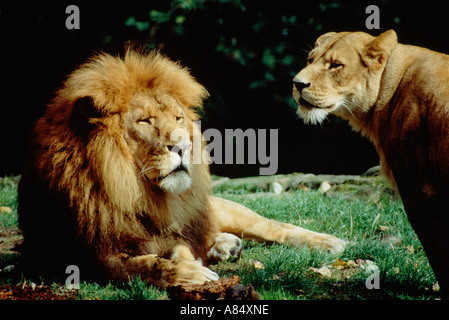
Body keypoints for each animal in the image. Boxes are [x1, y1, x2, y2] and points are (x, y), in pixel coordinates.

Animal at [15, 48, 342, 288]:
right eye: (145, 121)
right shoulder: (88, 257)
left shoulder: (176, 231)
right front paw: (190, 271)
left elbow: (180, 251)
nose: (183, 146)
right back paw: (224, 246)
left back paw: (329, 242)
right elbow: (143, 265)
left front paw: (192, 267)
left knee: (273, 225)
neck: (139, 193)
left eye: (178, 118)